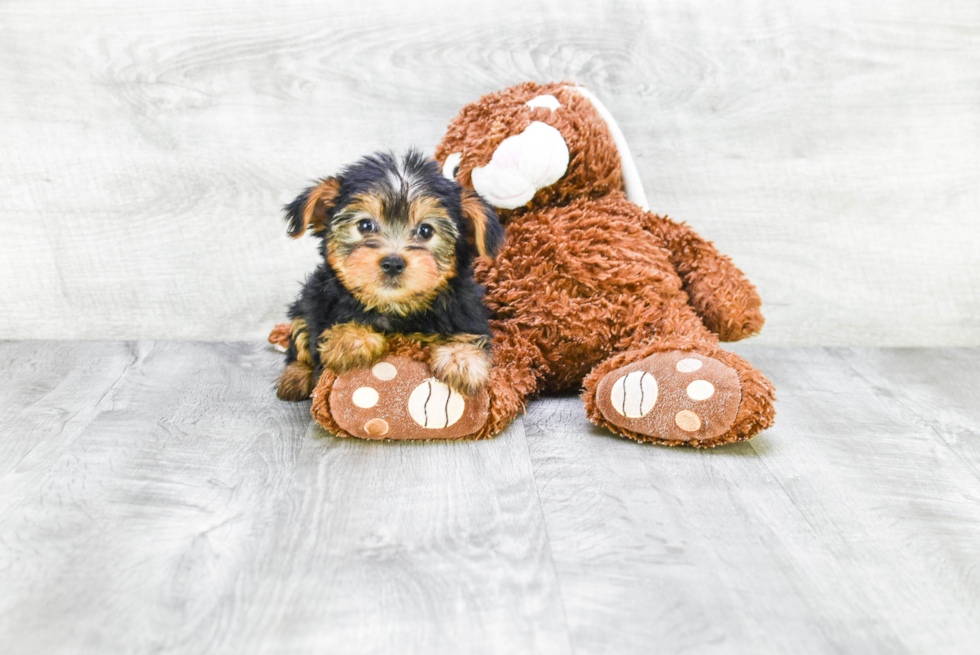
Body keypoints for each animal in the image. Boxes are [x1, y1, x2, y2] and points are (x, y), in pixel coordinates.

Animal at [278, 151, 502, 402]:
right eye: (365, 225)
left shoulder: (466, 311)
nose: (393, 263)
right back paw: (295, 376)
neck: (395, 307)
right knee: (299, 340)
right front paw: (351, 340)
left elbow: (469, 335)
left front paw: (461, 360)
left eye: (426, 230)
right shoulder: (319, 304)